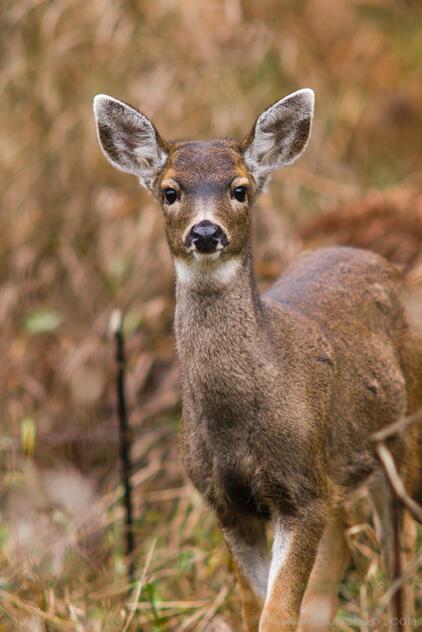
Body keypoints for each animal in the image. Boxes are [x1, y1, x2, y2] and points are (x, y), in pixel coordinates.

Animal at [93, 90, 422, 632]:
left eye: (240, 189)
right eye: (170, 191)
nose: (206, 232)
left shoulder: (302, 493)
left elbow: (278, 612)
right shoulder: (226, 504)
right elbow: (256, 607)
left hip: (404, 437)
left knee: (399, 554)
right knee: (344, 555)